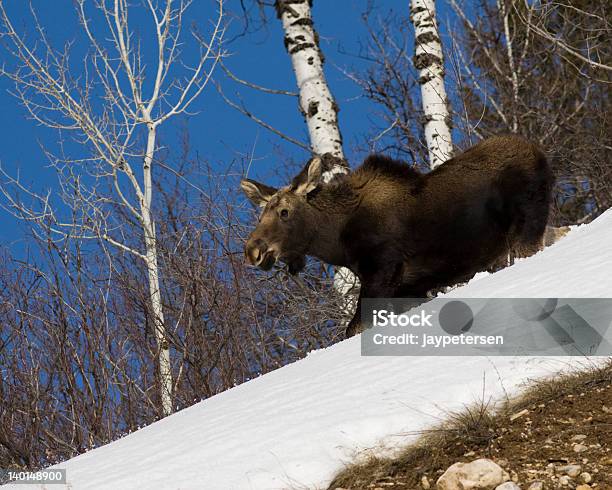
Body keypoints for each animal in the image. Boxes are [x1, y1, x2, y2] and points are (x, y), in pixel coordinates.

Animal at [240, 136, 556, 338]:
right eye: (260, 215)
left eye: (284, 212)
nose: (252, 250)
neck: (337, 241)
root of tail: (540, 154)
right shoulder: (409, 289)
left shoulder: (384, 273)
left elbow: (354, 329)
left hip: (526, 225)